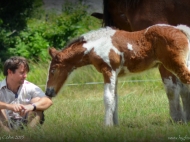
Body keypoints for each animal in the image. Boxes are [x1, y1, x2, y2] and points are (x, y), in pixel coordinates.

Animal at [45, 24, 190, 125]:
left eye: (53, 70)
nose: (48, 92)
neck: (95, 46)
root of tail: (181, 30)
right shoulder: (115, 74)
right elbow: (115, 98)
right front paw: (115, 125)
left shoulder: (108, 70)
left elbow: (108, 98)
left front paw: (107, 126)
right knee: (184, 89)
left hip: (175, 64)